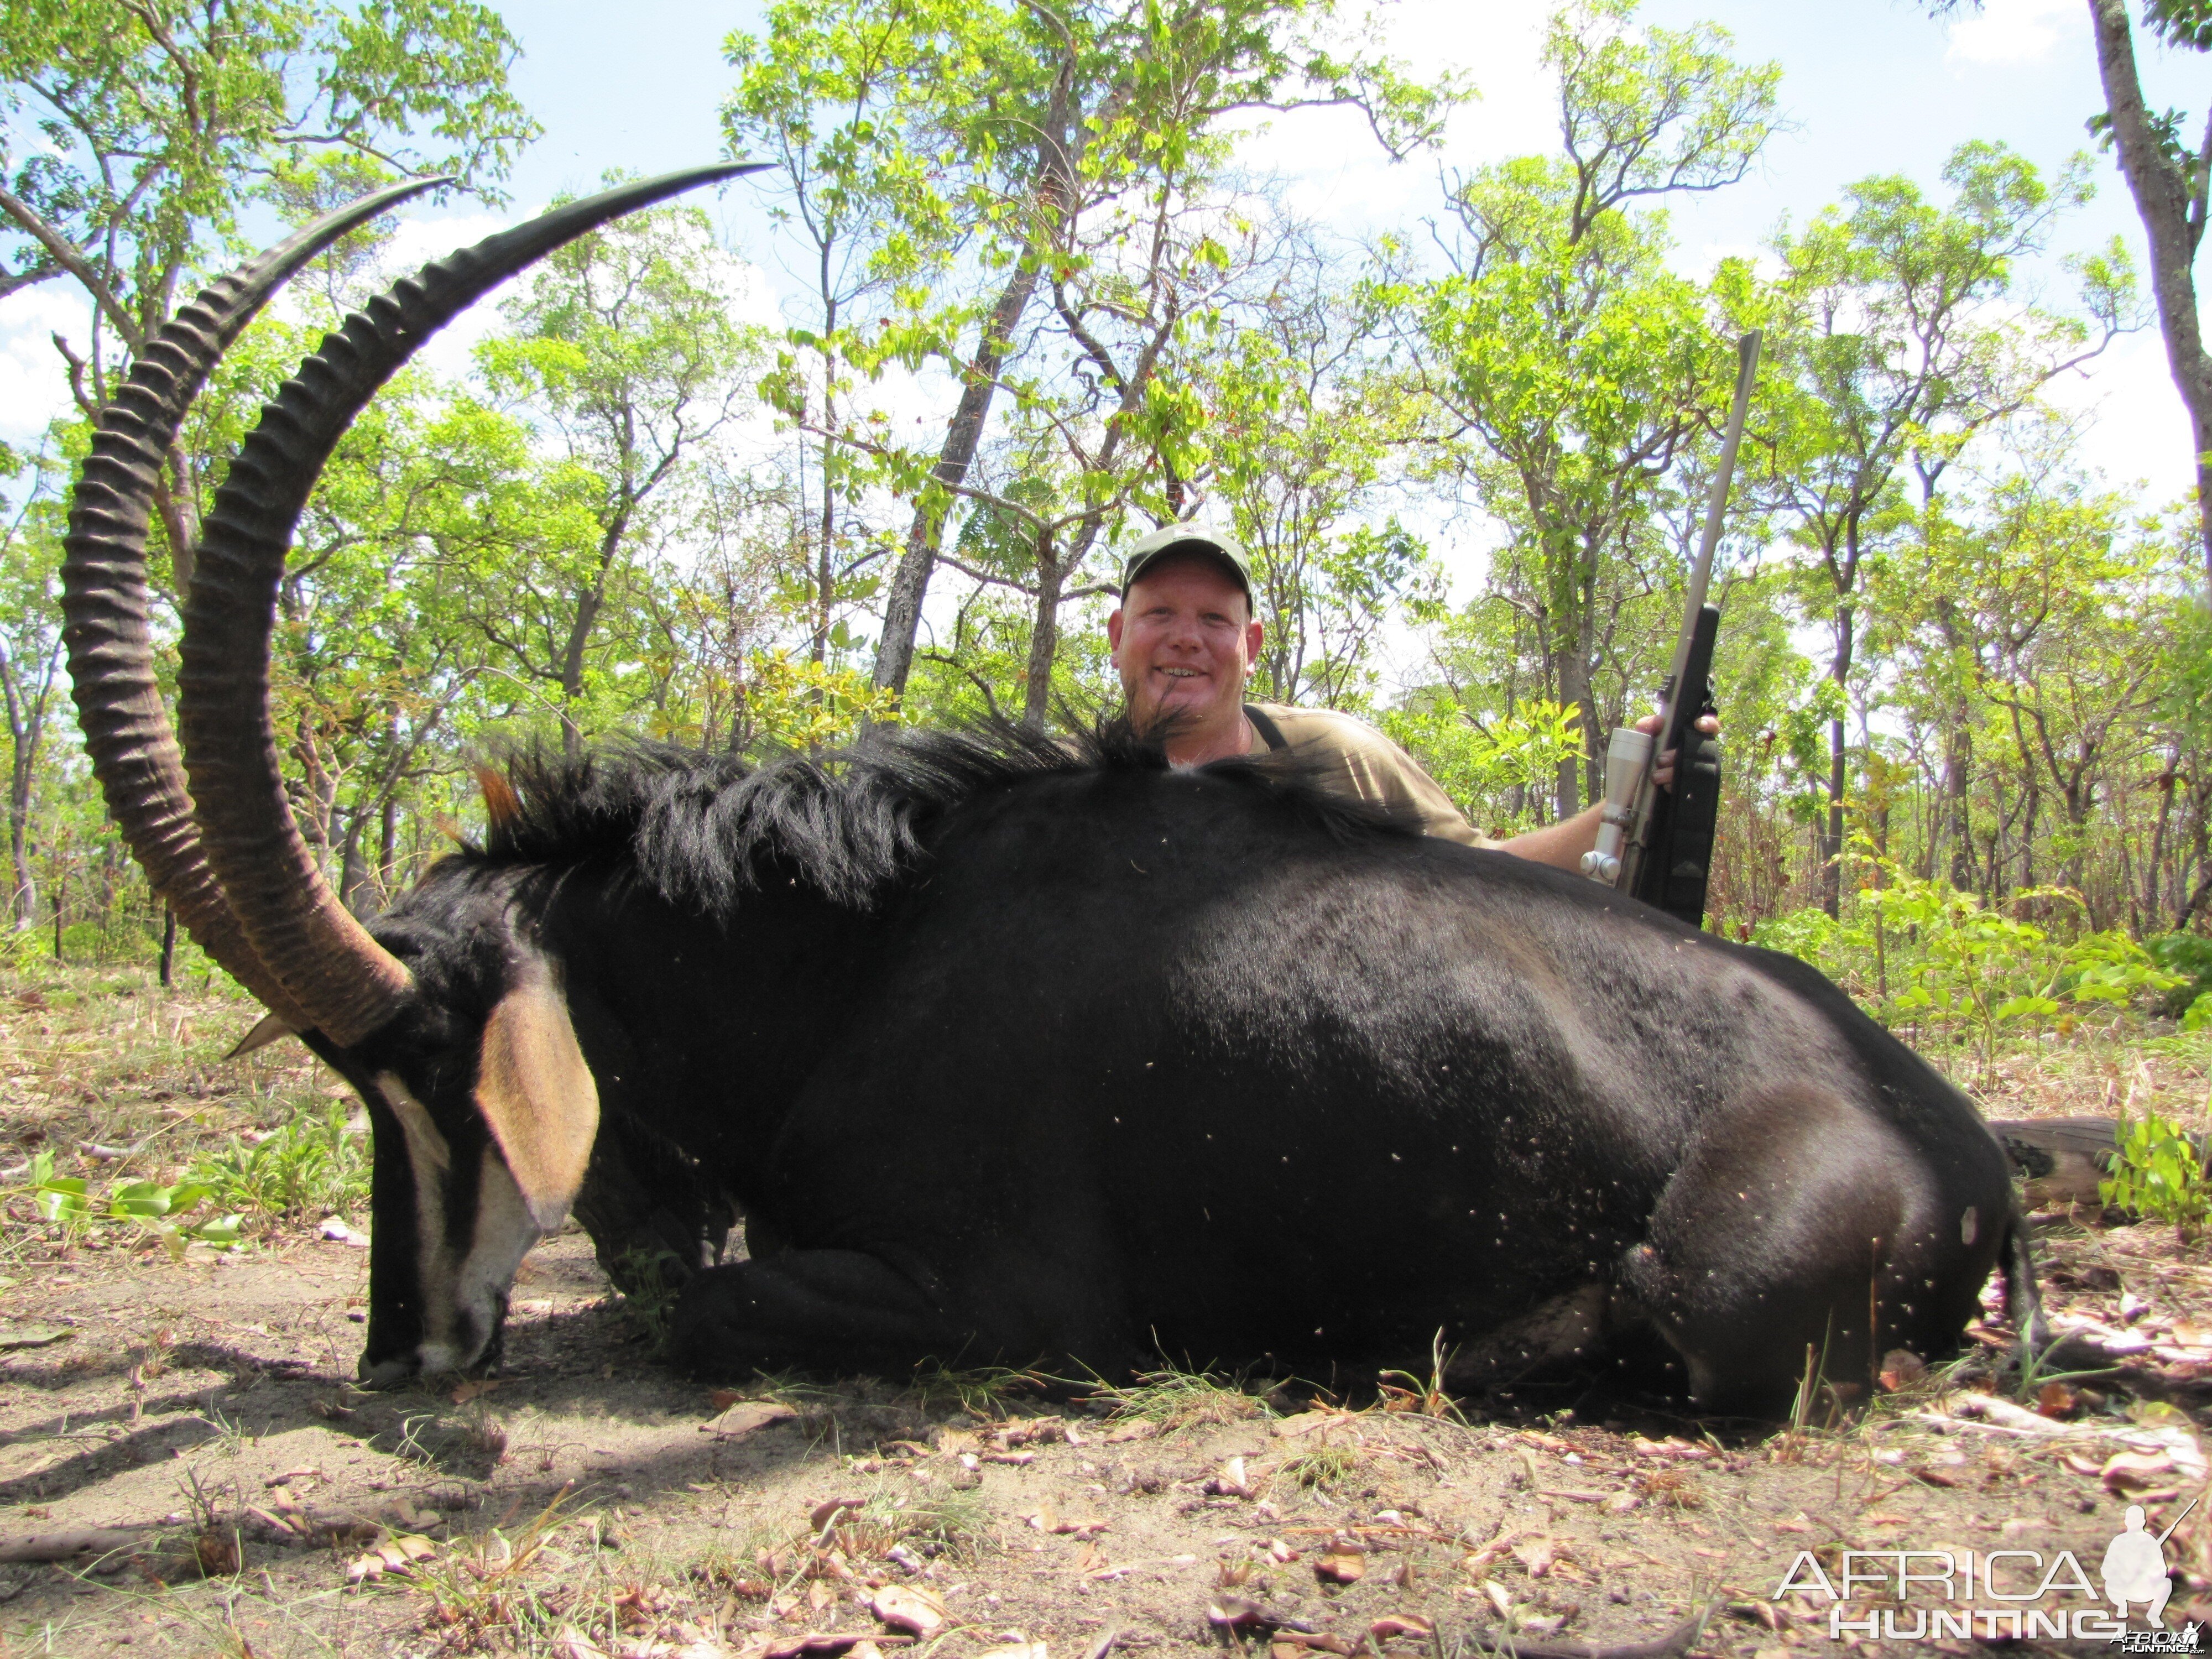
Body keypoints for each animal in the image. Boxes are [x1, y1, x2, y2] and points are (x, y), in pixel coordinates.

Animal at [65, 173, 2035, 1416]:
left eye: (424, 1067)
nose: (403, 1352)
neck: (854, 965)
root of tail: (1953, 1134)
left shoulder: (1001, 1298)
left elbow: (701, 1303)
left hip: (1723, 1279)